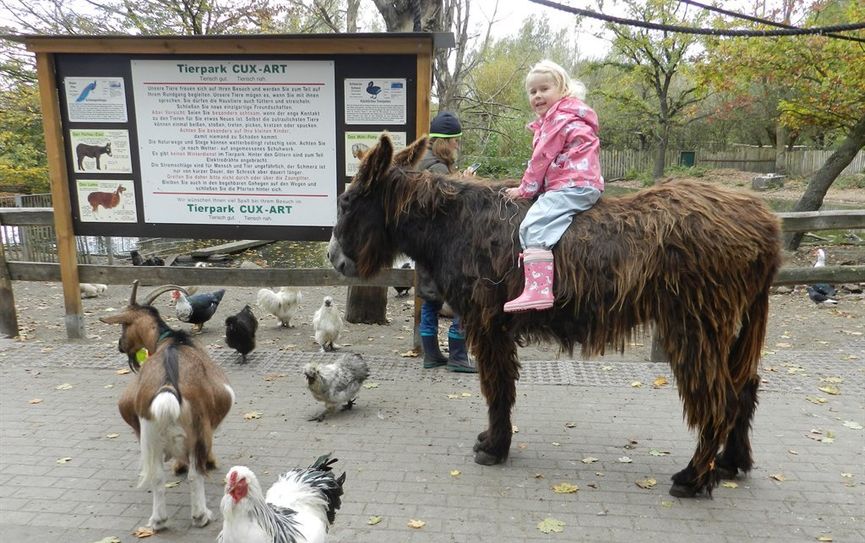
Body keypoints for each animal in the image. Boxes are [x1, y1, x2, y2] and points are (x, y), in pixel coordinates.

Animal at [100, 282, 236, 532]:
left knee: (156, 476)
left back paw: (158, 520)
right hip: (197, 430)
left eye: (125, 325)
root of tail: (168, 387)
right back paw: (201, 515)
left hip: (149, 437)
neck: (172, 339)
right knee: (195, 474)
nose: (120, 346)